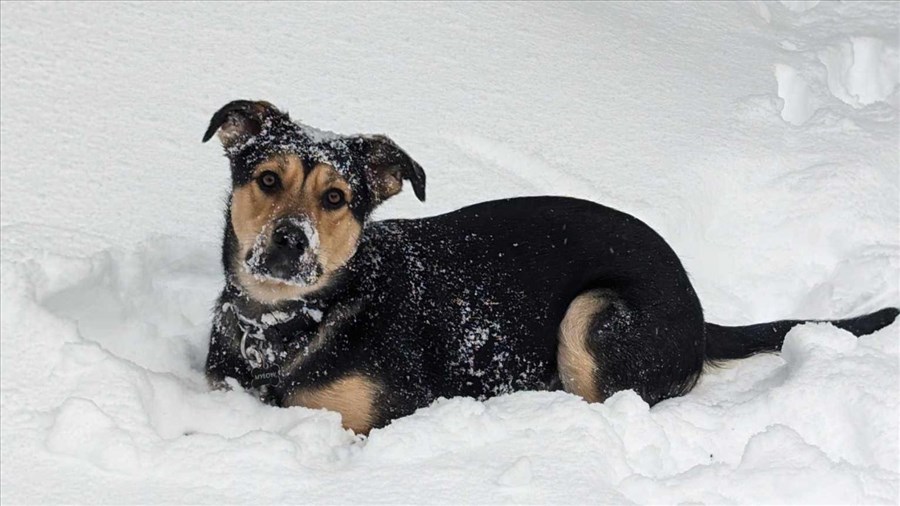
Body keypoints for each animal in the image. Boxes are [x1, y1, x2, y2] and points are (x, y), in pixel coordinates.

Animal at [204, 100, 900, 434]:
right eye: (268, 180)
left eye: (336, 198)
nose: (290, 241)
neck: (287, 320)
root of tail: (698, 310)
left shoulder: (376, 419)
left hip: (593, 313)